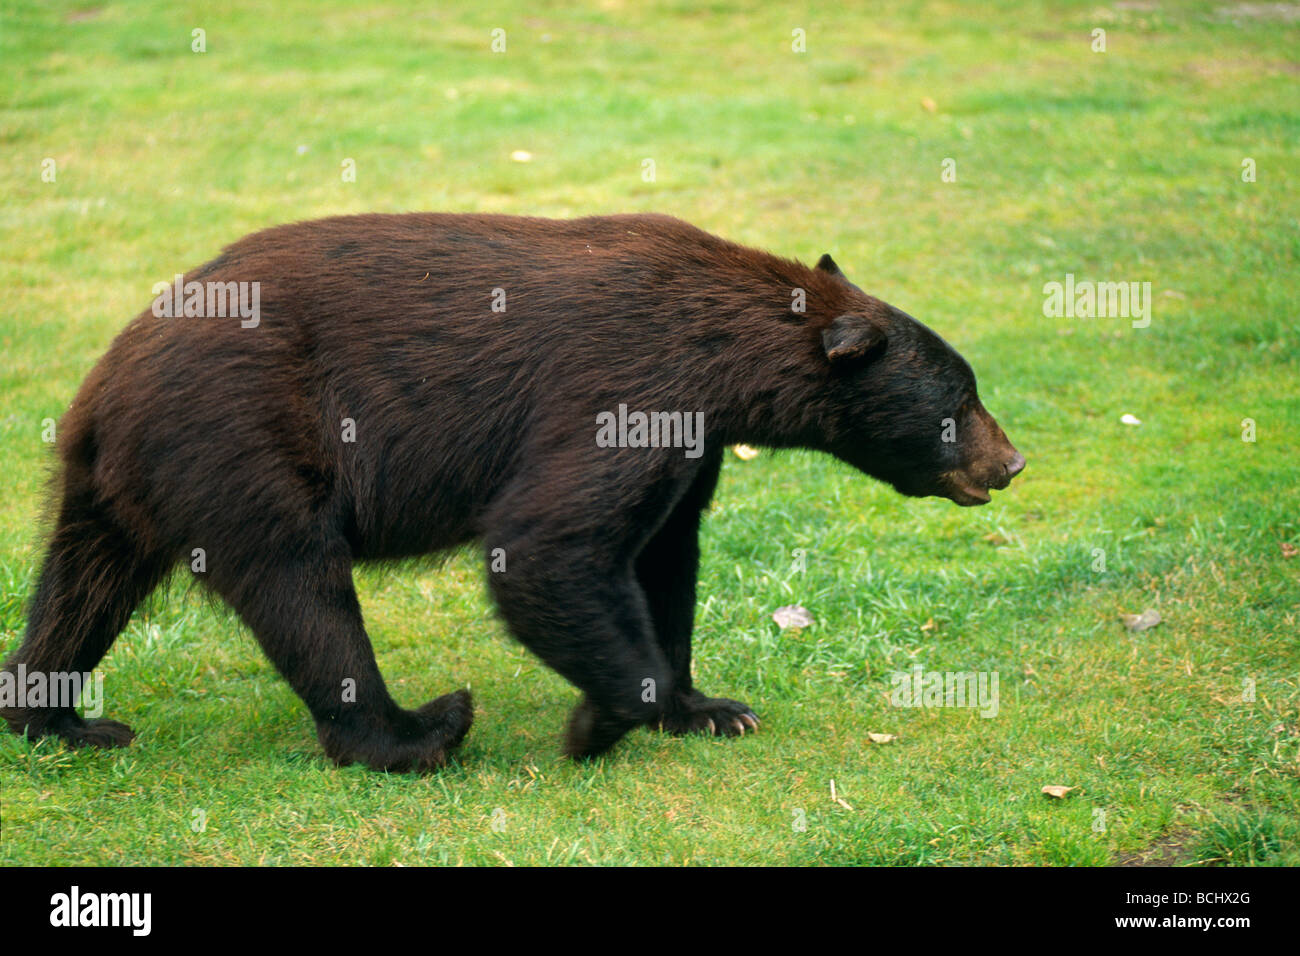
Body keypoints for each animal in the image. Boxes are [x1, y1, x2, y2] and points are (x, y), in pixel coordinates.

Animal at [2, 214, 1024, 770]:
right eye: (960, 400)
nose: (1009, 463)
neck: (723, 354)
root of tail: (108, 377)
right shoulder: (627, 384)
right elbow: (548, 545)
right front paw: (599, 721)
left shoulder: (689, 437)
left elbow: (663, 553)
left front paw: (707, 707)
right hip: (243, 440)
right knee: (302, 588)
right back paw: (415, 732)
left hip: (125, 481)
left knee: (82, 585)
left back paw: (57, 716)